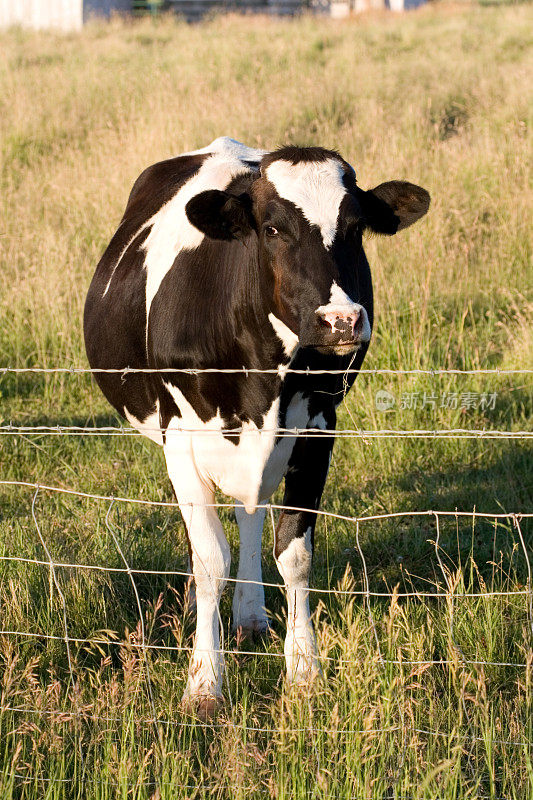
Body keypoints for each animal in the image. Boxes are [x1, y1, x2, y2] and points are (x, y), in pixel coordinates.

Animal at [85, 138, 430, 712]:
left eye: (356, 226)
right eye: (271, 228)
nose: (340, 321)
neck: (263, 379)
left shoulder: (317, 430)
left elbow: (294, 553)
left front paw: (305, 671)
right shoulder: (180, 436)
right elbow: (209, 558)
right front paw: (204, 685)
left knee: (251, 510)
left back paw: (250, 615)